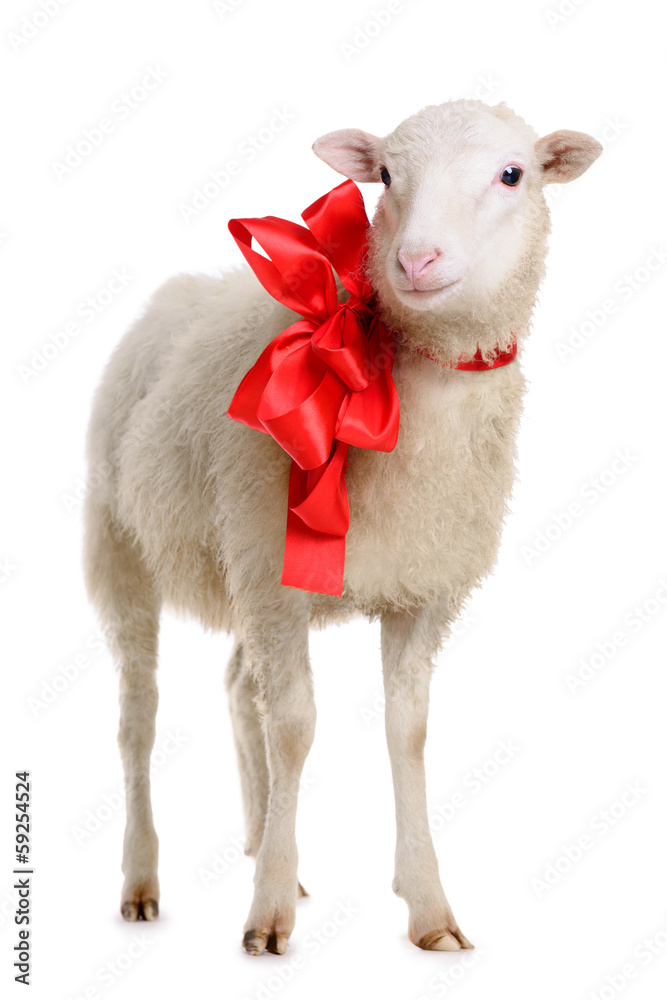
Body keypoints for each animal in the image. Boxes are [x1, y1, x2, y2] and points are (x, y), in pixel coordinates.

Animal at [83, 98, 602, 955]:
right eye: (385, 175)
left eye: (512, 173)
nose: (416, 261)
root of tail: (180, 291)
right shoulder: (275, 582)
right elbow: (294, 729)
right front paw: (267, 919)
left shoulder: (418, 590)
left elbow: (406, 732)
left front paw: (427, 907)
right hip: (122, 547)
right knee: (137, 722)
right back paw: (141, 881)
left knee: (238, 688)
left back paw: (265, 841)